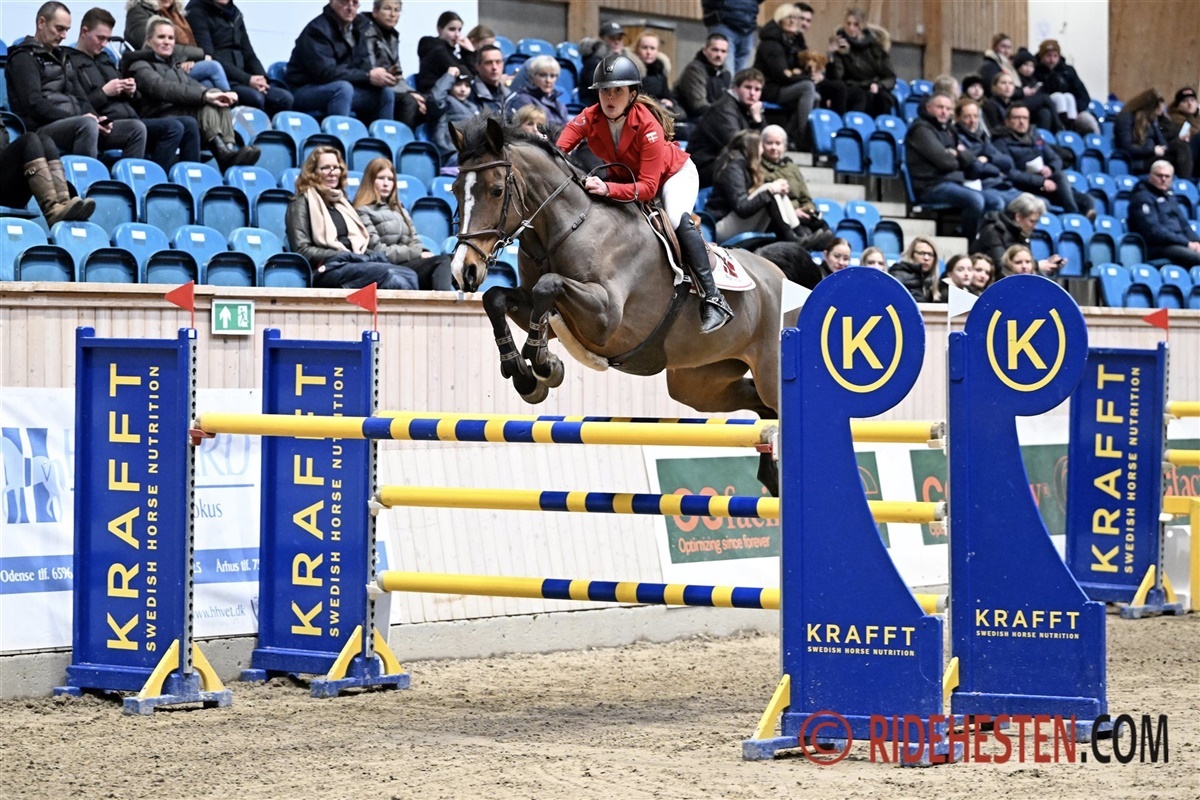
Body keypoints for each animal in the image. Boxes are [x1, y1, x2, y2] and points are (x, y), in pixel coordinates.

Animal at [447, 116, 796, 485]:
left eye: (496, 190)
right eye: (455, 189)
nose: (464, 270)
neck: (566, 227)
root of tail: (781, 278)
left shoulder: (605, 320)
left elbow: (548, 286)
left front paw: (542, 364)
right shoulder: (546, 313)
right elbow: (497, 298)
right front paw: (524, 374)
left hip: (768, 372)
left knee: (772, 403)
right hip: (701, 383)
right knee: (758, 406)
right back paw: (769, 474)